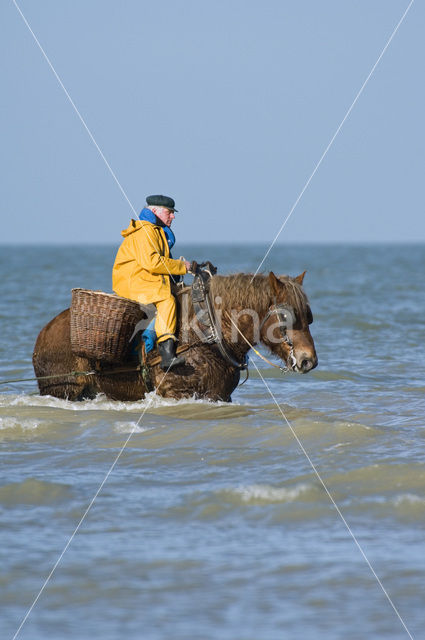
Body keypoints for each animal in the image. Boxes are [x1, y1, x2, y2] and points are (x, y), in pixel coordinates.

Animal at [33, 272, 316, 402]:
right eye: (286, 317)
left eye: (309, 317)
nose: (308, 360)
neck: (206, 333)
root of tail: (44, 332)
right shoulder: (176, 392)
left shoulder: (220, 394)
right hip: (63, 390)